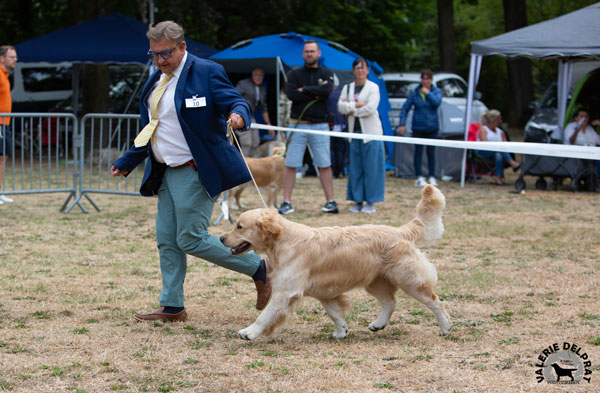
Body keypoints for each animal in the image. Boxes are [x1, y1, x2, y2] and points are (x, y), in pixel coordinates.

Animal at [220, 184, 450, 340]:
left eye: (239, 226)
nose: (221, 238)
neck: (283, 242)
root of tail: (402, 231)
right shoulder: (324, 290)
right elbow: (334, 313)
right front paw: (342, 331)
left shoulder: (286, 291)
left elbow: (266, 315)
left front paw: (249, 332)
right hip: (375, 281)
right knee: (390, 302)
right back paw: (378, 324)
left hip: (409, 280)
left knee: (434, 301)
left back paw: (446, 326)